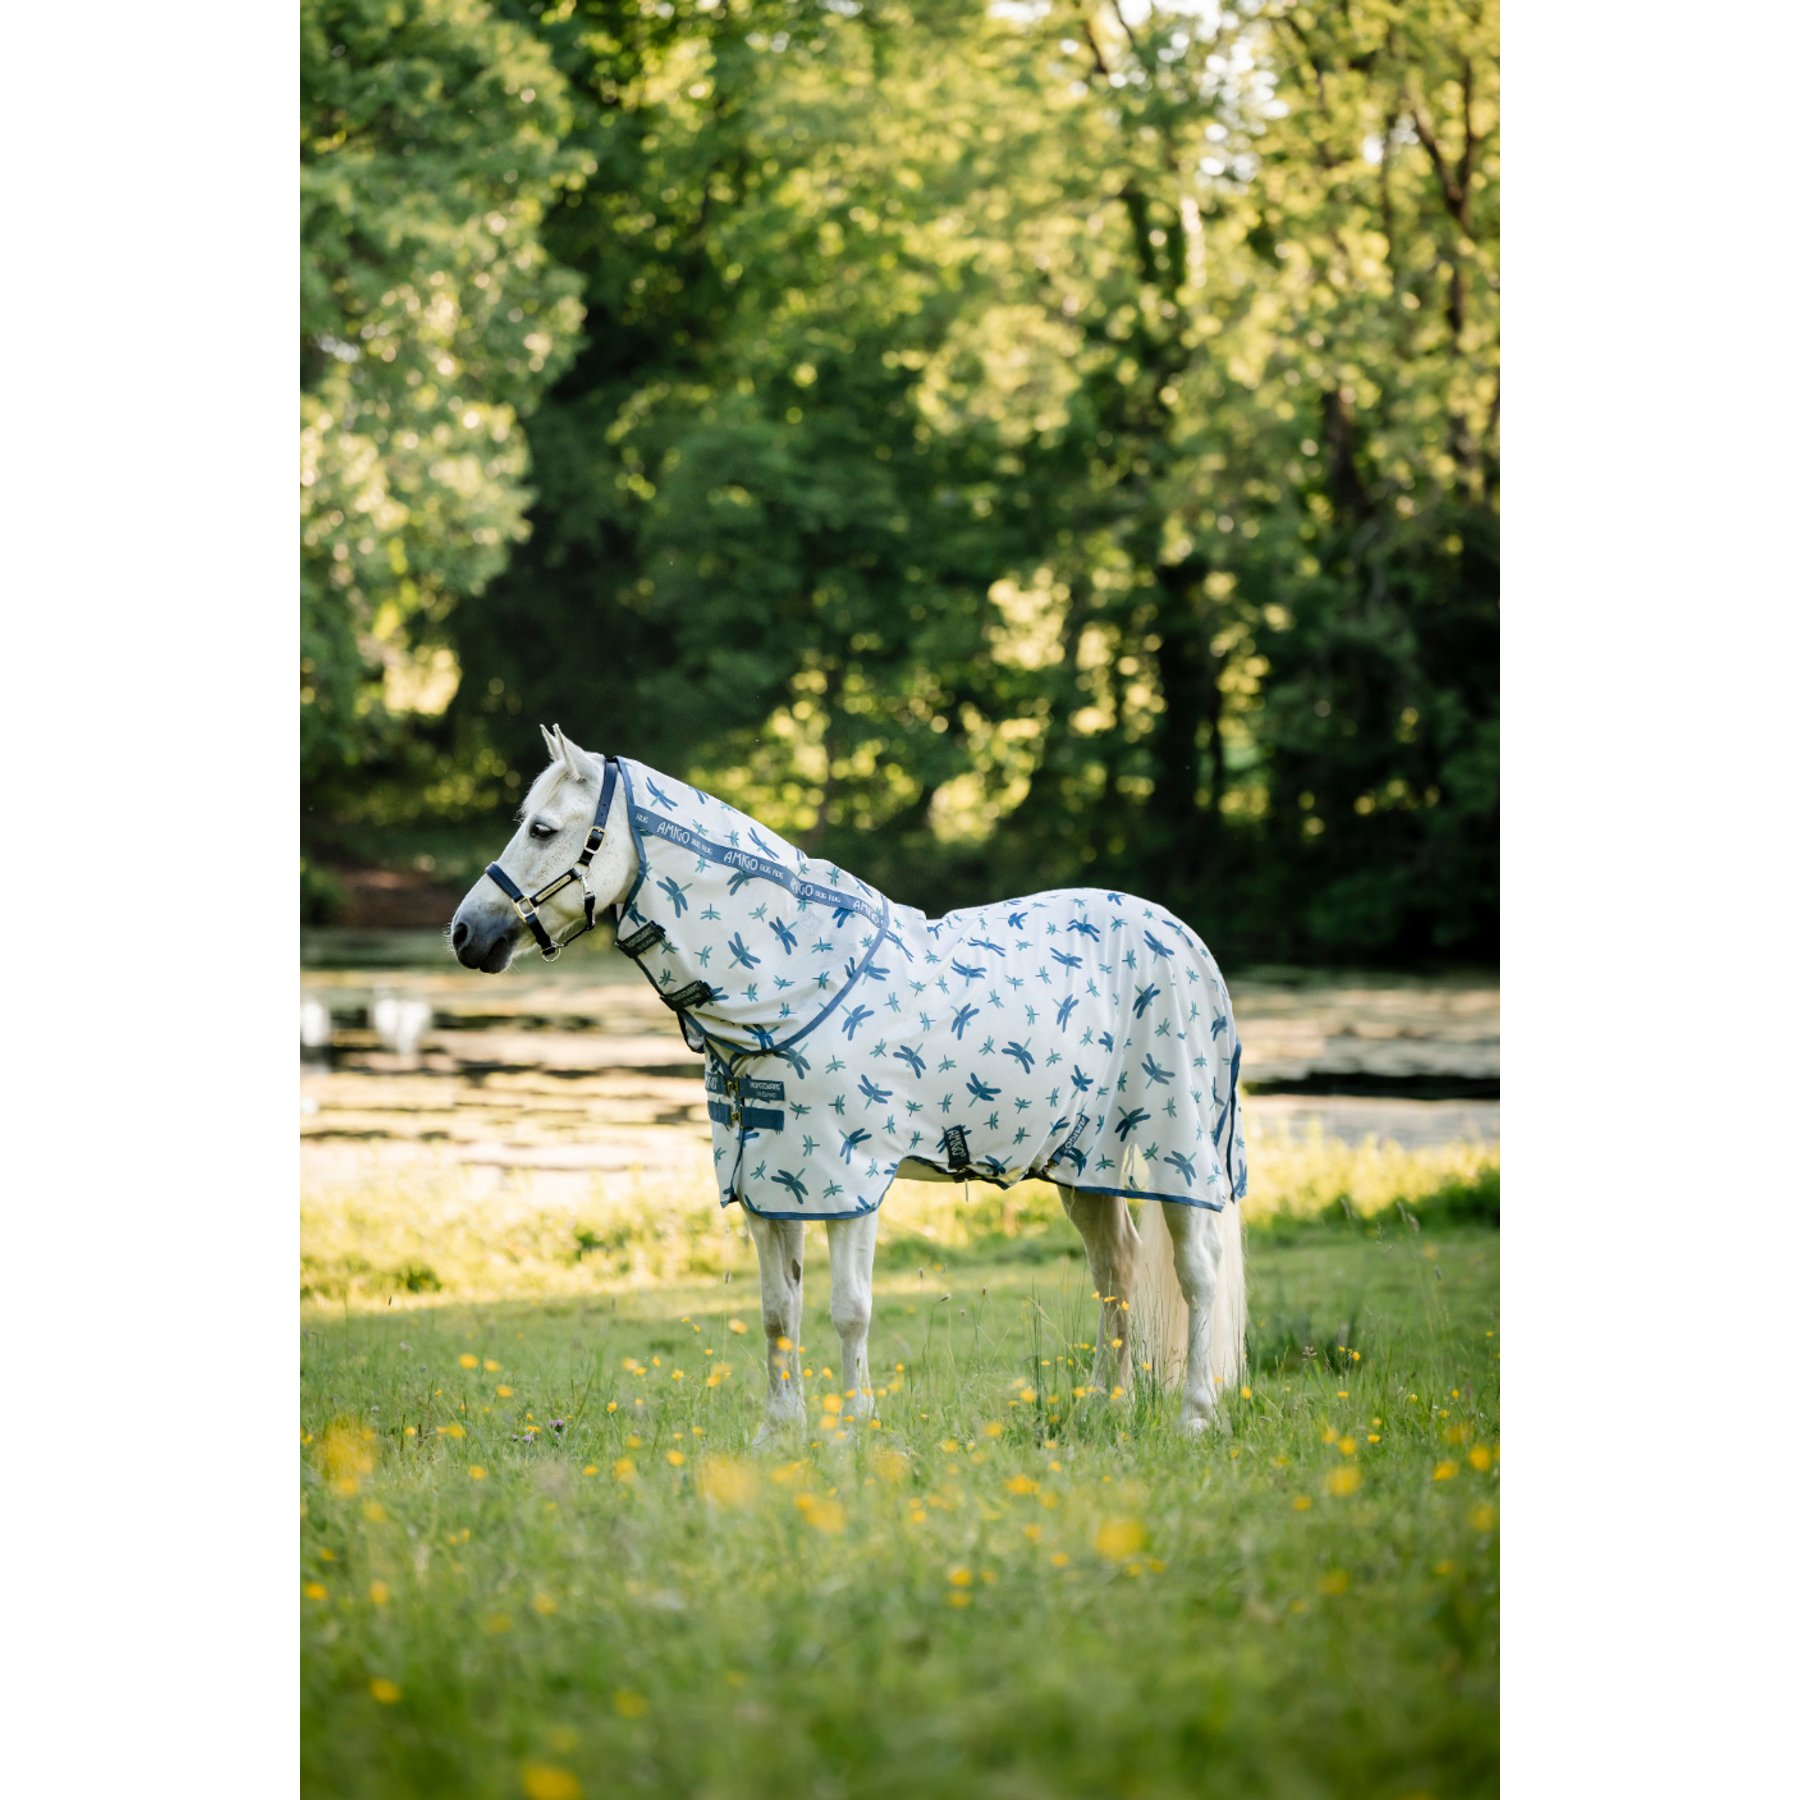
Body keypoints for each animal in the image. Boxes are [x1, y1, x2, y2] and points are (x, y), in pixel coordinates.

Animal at [450, 724, 1248, 1441]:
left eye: (545, 829)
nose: (465, 933)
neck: (794, 985)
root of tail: (1184, 939)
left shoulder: (850, 1178)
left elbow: (849, 1308)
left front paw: (855, 1428)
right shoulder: (768, 1184)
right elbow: (779, 1310)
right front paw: (780, 1432)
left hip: (1177, 1153)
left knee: (1197, 1273)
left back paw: (1196, 1416)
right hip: (1085, 1165)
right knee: (1117, 1269)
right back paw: (1104, 1407)